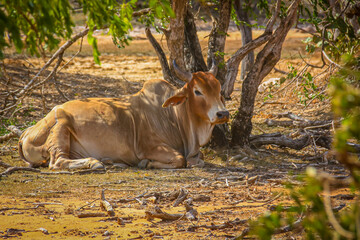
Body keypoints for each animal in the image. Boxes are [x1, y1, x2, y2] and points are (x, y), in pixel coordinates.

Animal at [18, 62, 229, 170]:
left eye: (219, 89)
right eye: (197, 91)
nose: (223, 113)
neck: (174, 117)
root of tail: (27, 131)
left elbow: (198, 158)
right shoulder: (149, 147)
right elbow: (180, 159)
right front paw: (147, 163)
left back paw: (107, 161)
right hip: (60, 127)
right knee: (57, 162)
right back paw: (95, 163)